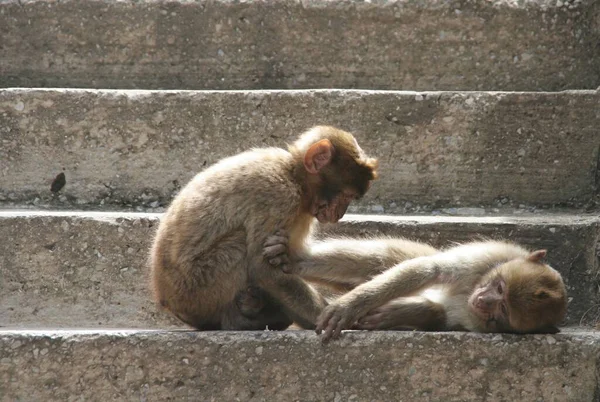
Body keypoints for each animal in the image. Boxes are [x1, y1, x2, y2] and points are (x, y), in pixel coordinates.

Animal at [149, 125, 376, 330]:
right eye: (346, 196)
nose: (340, 213)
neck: (293, 176)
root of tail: (166, 299)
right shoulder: (279, 196)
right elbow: (263, 269)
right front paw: (332, 316)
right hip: (198, 288)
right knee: (238, 245)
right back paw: (238, 322)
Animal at [264, 236, 568, 342]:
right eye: (500, 287)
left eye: (502, 309)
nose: (482, 300)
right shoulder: (491, 255)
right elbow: (430, 270)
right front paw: (351, 306)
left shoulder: (477, 323)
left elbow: (442, 317)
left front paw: (401, 314)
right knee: (382, 258)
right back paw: (292, 263)